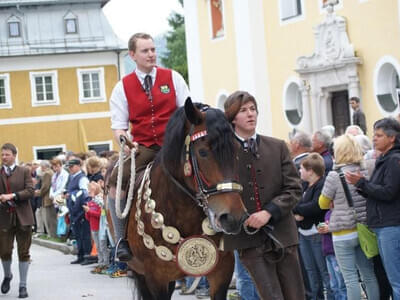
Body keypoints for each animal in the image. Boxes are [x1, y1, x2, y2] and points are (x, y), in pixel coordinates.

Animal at [116, 98, 247, 298]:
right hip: (140, 273)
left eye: (237, 150)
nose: (233, 218)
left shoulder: (222, 271)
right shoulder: (155, 278)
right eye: (202, 152)